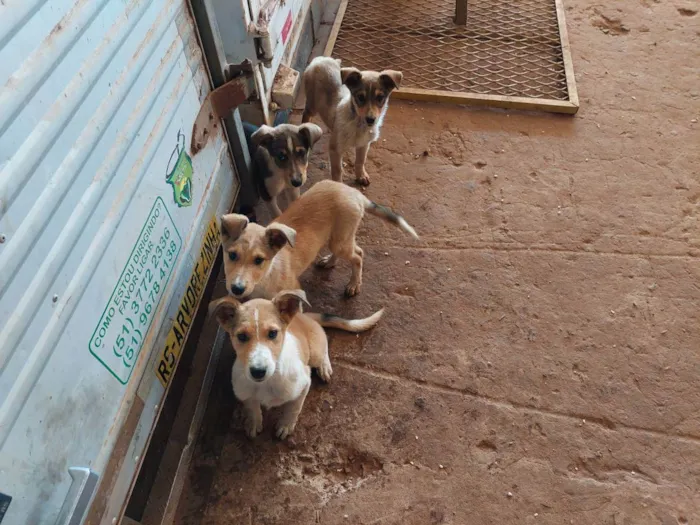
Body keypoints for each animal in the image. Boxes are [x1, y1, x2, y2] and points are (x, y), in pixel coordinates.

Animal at [211, 288, 386, 436]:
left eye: (273, 333)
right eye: (241, 336)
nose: (258, 372)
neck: (269, 381)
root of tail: (305, 316)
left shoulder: (304, 384)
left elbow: (293, 408)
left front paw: (286, 426)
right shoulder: (245, 393)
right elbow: (252, 408)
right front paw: (254, 423)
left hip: (315, 352)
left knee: (324, 346)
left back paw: (324, 367)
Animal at [220, 178, 416, 298]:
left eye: (259, 260)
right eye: (232, 255)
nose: (236, 289)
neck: (265, 277)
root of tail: (355, 193)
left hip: (340, 239)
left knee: (358, 255)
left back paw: (353, 285)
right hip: (337, 236)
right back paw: (329, 262)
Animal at [302, 55, 404, 185]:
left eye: (380, 98)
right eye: (360, 97)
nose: (370, 120)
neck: (358, 124)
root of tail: (320, 59)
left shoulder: (364, 144)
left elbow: (360, 161)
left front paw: (361, 176)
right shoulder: (335, 149)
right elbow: (337, 170)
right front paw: (338, 186)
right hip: (312, 105)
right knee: (306, 114)